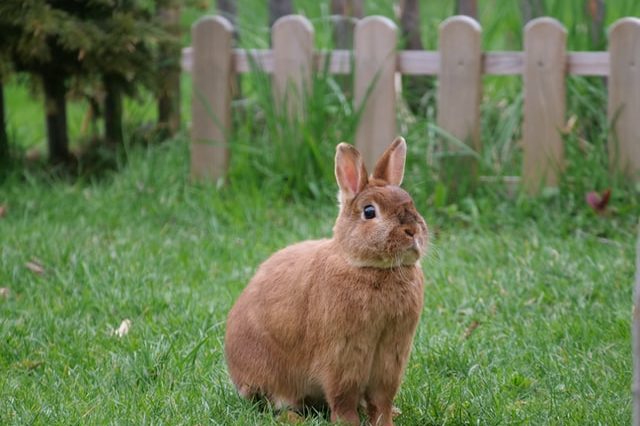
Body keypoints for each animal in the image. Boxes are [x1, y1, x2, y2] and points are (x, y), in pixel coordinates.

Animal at [222, 137, 428, 426]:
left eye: (410, 202)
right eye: (369, 212)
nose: (413, 231)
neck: (369, 268)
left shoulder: (391, 356)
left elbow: (381, 400)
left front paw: (386, 421)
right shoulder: (343, 355)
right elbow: (343, 398)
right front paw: (349, 423)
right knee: (276, 403)